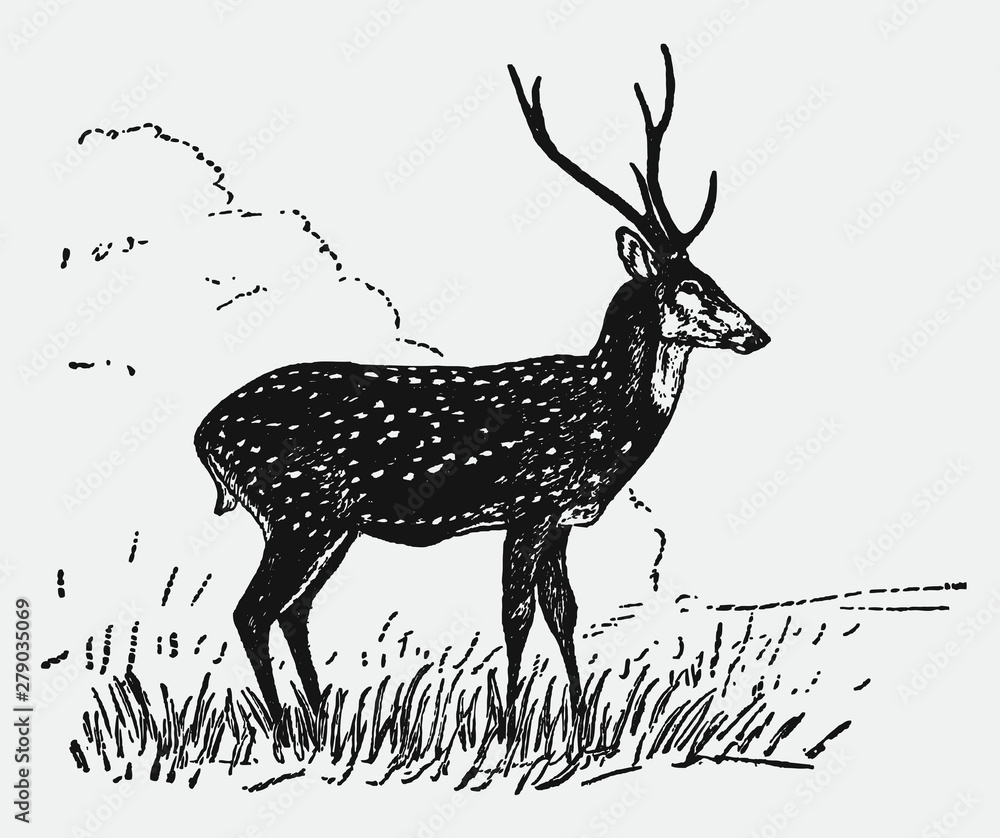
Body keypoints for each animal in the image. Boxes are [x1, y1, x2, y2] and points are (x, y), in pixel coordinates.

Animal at [194, 44, 770, 738]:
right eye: (689, 287)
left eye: (712, 276)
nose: (759, 333)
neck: (601, 417)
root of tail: (204, 435)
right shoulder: (530, 504)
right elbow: (515, 618)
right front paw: (512, 733)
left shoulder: (561, 519)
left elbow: (564, 613)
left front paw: (582, 733)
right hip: (298, 509)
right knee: (252, 610)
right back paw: (286, 736)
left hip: (331, 525)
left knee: (292, 610)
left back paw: (322, 726)